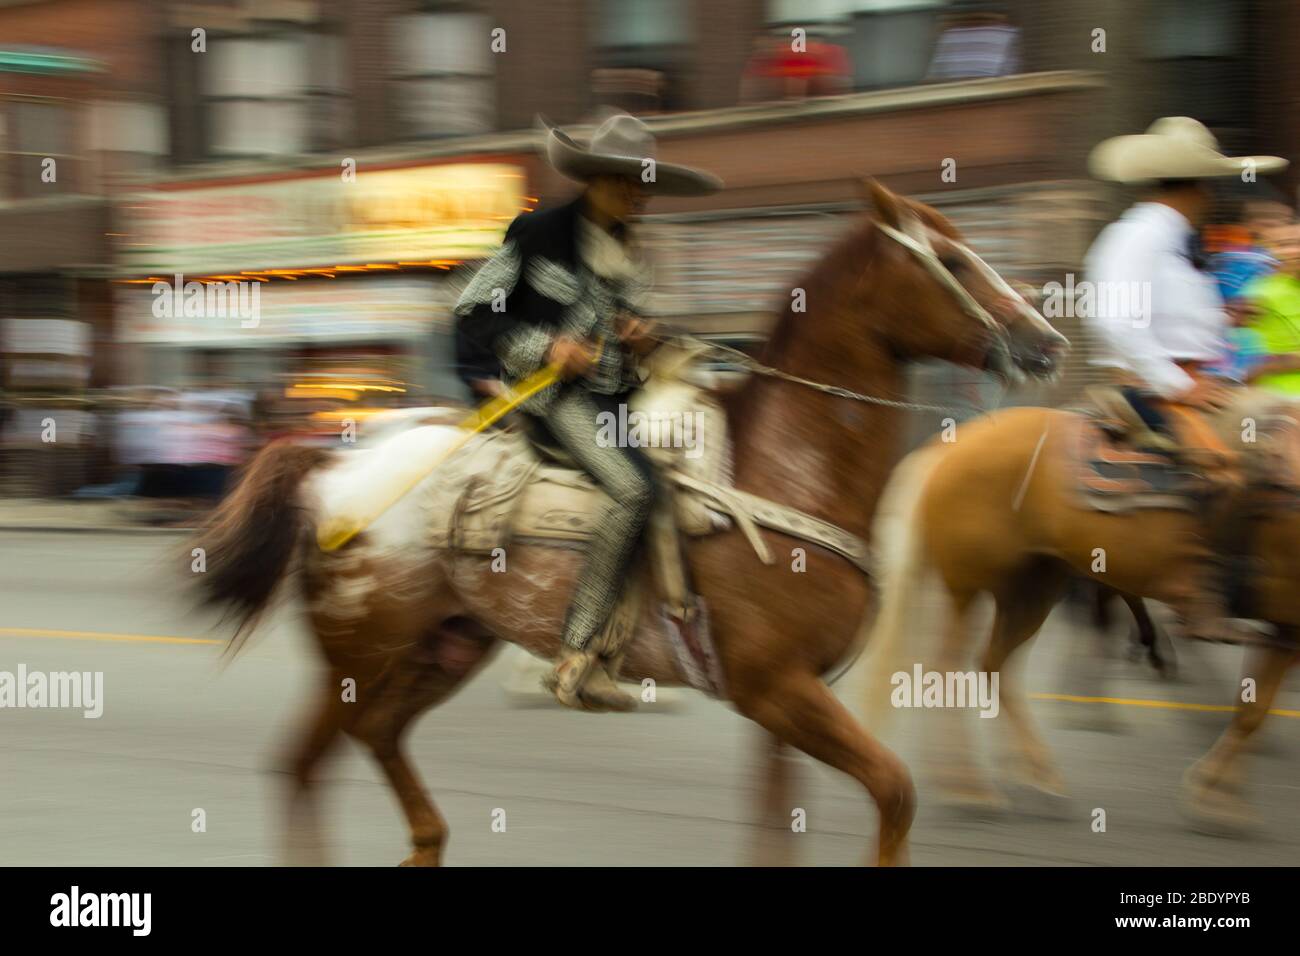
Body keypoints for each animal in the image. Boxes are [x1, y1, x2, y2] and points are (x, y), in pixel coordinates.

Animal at [192, 179, 1066, 868]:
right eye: (953, 260)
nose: (1047, 341)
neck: (786, 466)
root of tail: (332, 467)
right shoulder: (776, 689)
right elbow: (894, 790)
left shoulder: (784, 699)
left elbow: (779, 825)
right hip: (359, 654)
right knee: (303, 766)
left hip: (442, 646)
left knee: (375, 737)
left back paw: (428, 844)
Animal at [863, 390, 1300, 832]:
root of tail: (950, 446)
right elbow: (1252, 711)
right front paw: (1215, 795)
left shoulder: (1286, 630)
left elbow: (1253, 710)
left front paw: (1220, 795)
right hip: (969, 583)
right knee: (949, 669)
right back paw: (969, 787)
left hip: (1033, 585)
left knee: (993, 664)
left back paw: (1035, 775)